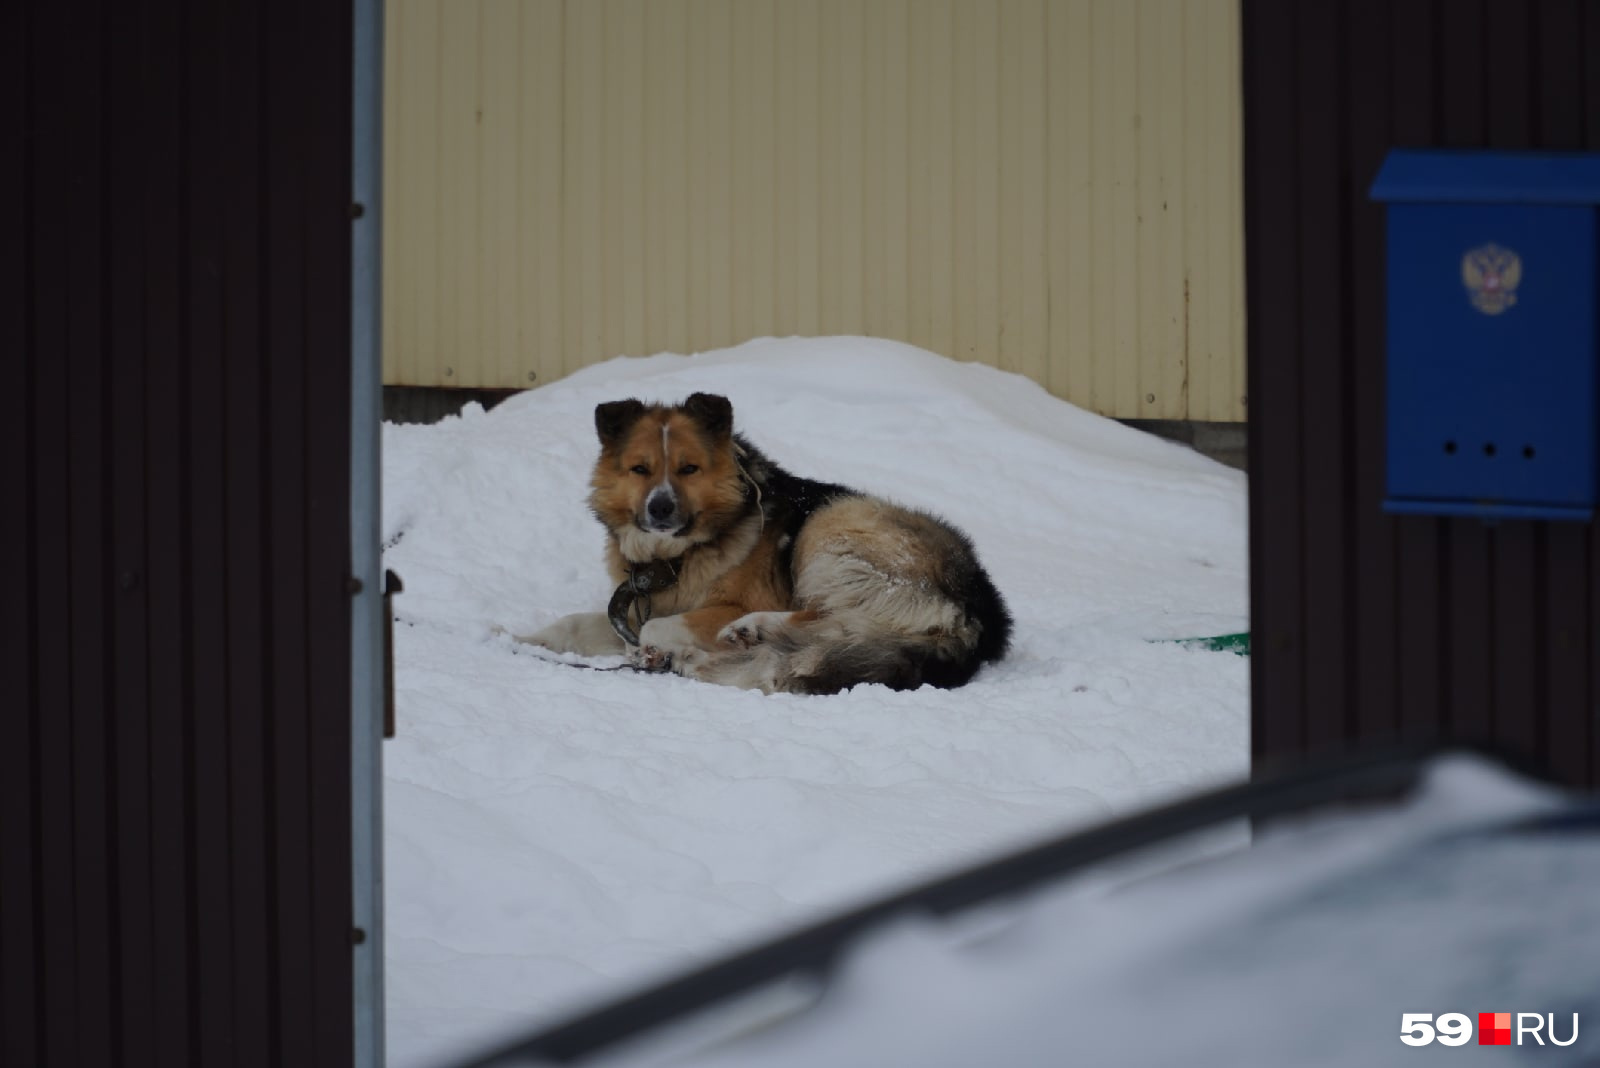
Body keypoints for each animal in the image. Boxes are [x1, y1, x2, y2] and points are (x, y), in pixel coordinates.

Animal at [515, 391, 1011, 693]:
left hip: (835, 527)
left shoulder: (718, 604)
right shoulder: (633, 611)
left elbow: (654, 629)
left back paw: (749, 632)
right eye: (640, 469)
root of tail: (981, 608)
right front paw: (520, 639)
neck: (677, 557)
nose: (660, 509)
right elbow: (576, 624)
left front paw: (654, 651)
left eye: (689, 468)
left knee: (835, 616)